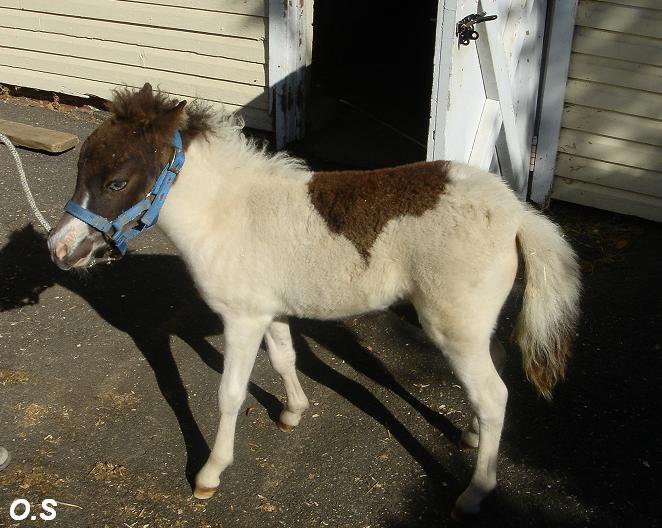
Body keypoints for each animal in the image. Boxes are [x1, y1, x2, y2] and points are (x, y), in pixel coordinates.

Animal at [49, 84, 584, 516]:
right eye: (79, 168)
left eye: (117, 182)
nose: (59, 250)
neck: (227, 213)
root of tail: (516, 212)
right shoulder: (270, 311)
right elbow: (285, 359)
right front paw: (293, 413)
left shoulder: (241, 319)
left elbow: (229, 394)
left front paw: (210, 474)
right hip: (471, 327)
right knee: (491, 377)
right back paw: (472, 438)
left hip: (452, 327)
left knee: (494, 395)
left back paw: (474, 493)